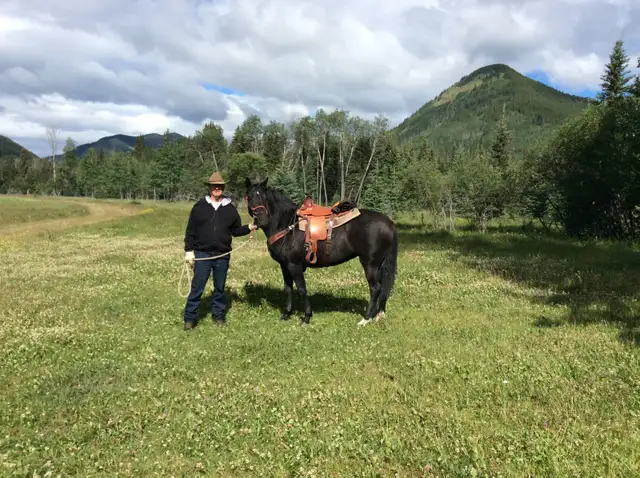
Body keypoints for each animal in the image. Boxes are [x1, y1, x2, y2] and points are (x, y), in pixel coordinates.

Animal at [244, 177, 398, 326]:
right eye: (250, 197)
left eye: (264, 197)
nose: (261, 219)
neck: (286, 224)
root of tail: (389, 223)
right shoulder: (284, 265)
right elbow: (288, 289)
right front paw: (286, 314)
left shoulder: (294, 265)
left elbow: (301, 289)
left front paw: (306, 317)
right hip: (379, 265)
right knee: (382, 288)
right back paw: (378, 314)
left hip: (370, 264)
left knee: (375, 288)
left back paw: (366, 319)